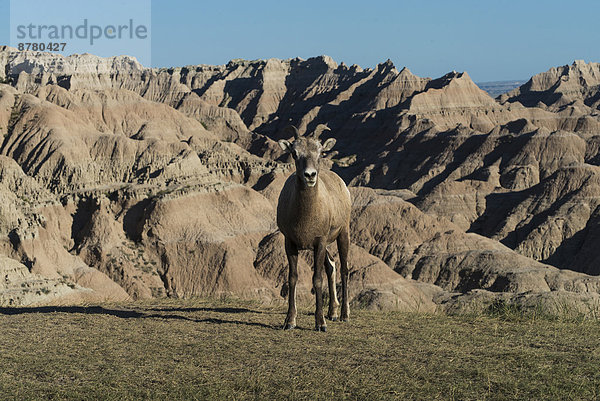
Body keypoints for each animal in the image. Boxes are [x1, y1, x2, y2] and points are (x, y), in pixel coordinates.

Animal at [276, 123, 352, 330]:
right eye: (294, 153)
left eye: (320, 153)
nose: (310, 175)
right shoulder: (290, 243)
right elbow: (292, 278)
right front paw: (289, 321)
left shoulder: (320, 242)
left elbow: (317, 279)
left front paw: (320, 324)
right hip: (324, 246)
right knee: (331, 265)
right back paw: (332, 313)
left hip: (343, 234)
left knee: (344, 269)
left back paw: (344, 315)